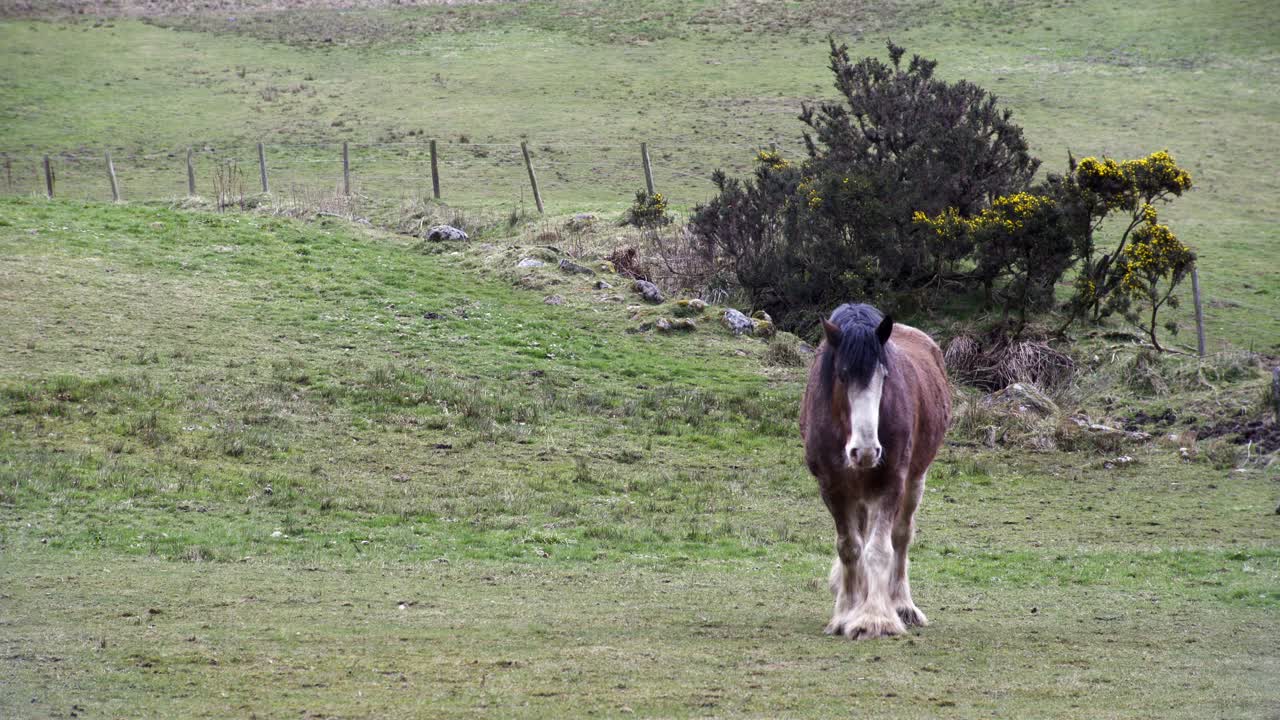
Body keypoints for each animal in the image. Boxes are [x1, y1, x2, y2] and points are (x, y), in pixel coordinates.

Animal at [799, 303, 950, 639]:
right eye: (842, 375)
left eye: (883, 376)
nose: (866, 451)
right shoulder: (832, 487)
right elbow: (850, 547)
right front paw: (846, 613)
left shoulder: (890, 483)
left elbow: (880, 550)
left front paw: (875, 619)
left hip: (914, 480)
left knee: (901, 536)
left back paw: (902, 605)